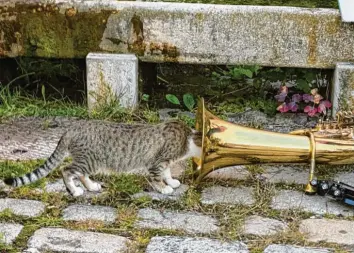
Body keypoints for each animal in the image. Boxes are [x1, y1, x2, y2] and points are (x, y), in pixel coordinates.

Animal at [3, 120, 202, 196]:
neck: (188, 139)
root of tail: (72, 128)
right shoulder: (157, 162)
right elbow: (157, 177)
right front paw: (164, 188)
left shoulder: (165, 162)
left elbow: (167, 173)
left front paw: (172, 182)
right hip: (89, 160)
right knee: (66, 170)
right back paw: (74, 190)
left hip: (90, 161)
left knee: (80, 174)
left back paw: (91, 186)